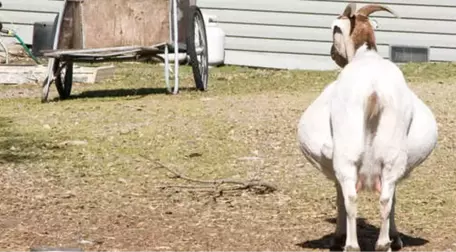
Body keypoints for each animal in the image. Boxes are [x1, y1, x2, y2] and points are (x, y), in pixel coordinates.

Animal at [298, 3, 436, 252]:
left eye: (334, 30)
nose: (333, 54)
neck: (367, 55)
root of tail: (374, 91)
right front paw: (395, 238)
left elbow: (340, 197)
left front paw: (338, 237)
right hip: (392, 155)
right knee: (386, 199)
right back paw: (383, 244)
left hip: (347, 154)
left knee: (351, 198)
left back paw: (352, 245)